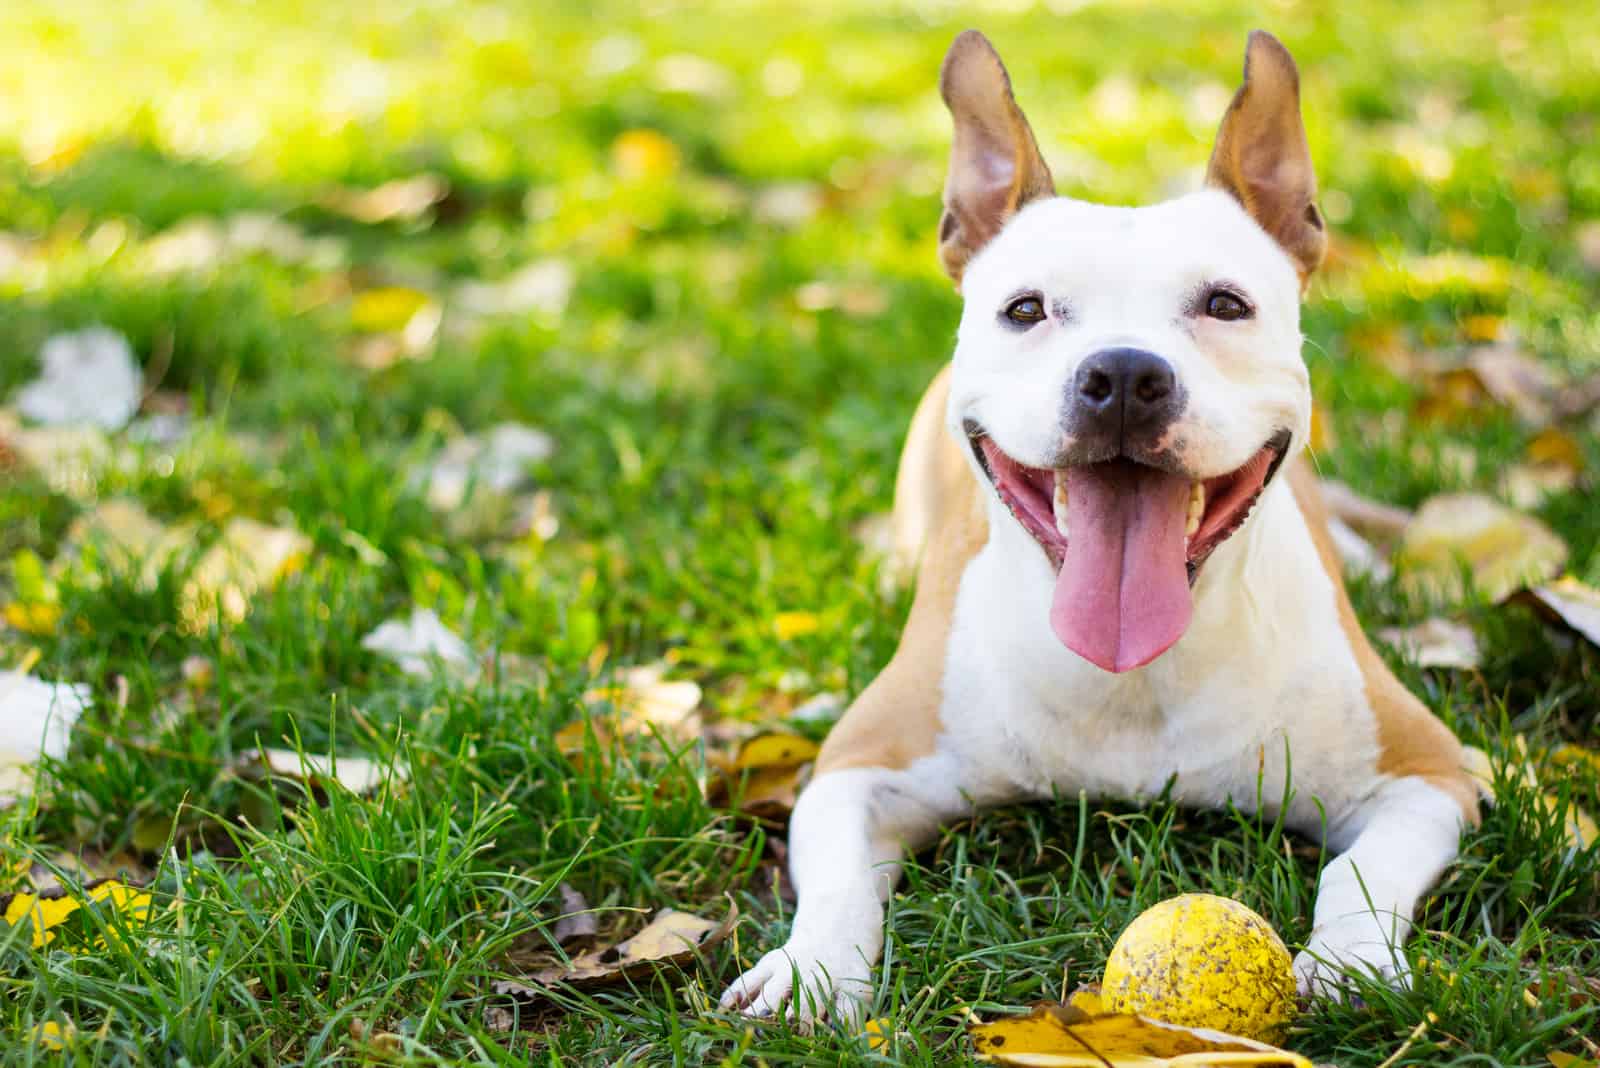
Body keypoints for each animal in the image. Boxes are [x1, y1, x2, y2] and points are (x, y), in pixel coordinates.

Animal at [720, 29, 1478, 1023]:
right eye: (1026, 309)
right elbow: (840, 880)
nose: (1121, 374)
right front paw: (808, 973)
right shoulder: (856, 768)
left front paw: (1349, 960)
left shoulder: (1428, 775)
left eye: (1226, 304)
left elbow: (1362, 869)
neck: (1135, 675)